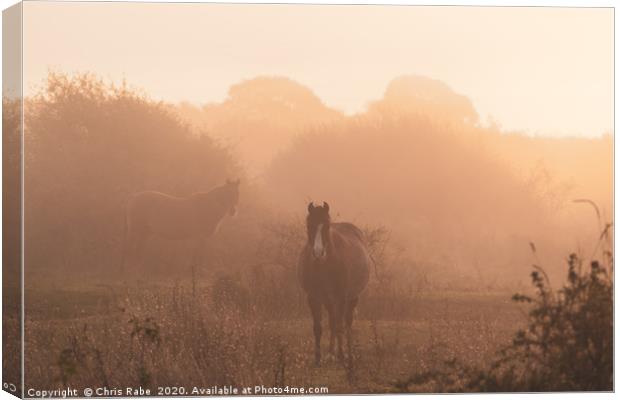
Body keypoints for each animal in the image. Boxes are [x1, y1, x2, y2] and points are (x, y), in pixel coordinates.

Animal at [298, 202, 370, 364]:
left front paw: (342, 355)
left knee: (347, 323)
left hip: (351, 298)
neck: (324, 265)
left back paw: (348, 352)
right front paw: (318, 358)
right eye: (309, 225)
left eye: (327, 226)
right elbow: (318, 327)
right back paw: (331, 352)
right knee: (332, 320)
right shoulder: (313, 298)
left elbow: (339, 326)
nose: (318, 253)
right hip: (328, 301)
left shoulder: (341, 297)